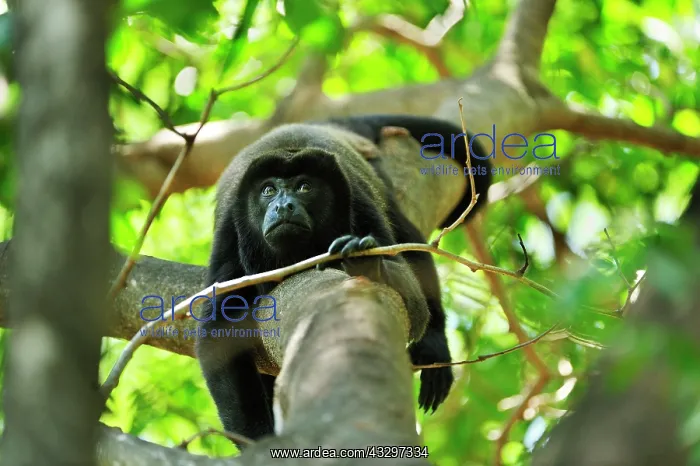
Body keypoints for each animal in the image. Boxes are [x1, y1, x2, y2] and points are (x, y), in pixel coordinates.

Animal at [195, 115, 492, 442]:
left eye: (305, 186)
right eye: (268, 191)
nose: (283, 206)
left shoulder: (358, 202)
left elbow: (411, 292)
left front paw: (369, 263)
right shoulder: (230, 236)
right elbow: (218, 334)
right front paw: (257, 439)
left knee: (411, 240)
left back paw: (435, 344)